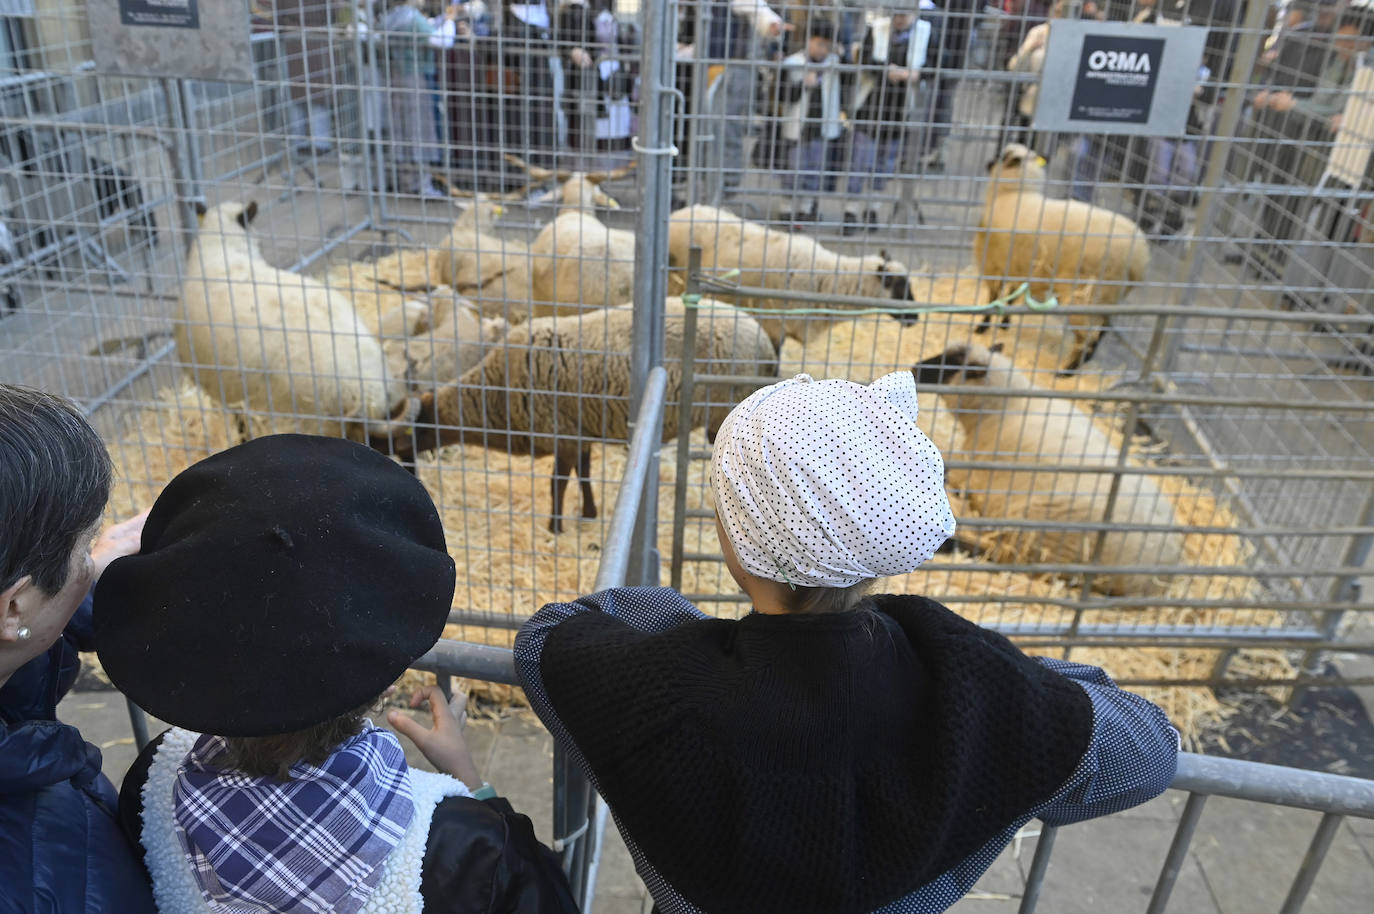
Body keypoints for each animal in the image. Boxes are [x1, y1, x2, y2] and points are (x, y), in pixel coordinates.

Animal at [365, 295, 780, 530]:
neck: (495, 391)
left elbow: (557, 483)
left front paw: (555, 527)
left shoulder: (560, 433)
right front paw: (590, 514)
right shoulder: (578, 431)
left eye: (392, 446)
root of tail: (765, 344)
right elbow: (585, 475)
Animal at [912, 340, 1181, 591]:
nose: (915, 367)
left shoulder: (971, 471)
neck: (1003, 407)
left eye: (951, 362)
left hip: (1039, 537)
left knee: (1000, 556)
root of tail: (1163, 578)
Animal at [972, 142, 1154, 371]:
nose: (988, 163)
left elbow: (994, 299)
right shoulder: (1019, 266)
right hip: (1109, 296)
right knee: (1103, 328)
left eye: (1001, 156)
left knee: (1088, 336)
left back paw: (1068, 371)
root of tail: (1140, 257)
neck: (1014, 194)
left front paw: (982, 327)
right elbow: (1011, 298)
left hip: (1085, 296)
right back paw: (1084, 361)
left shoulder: (992, 262)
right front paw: (1005, 324)